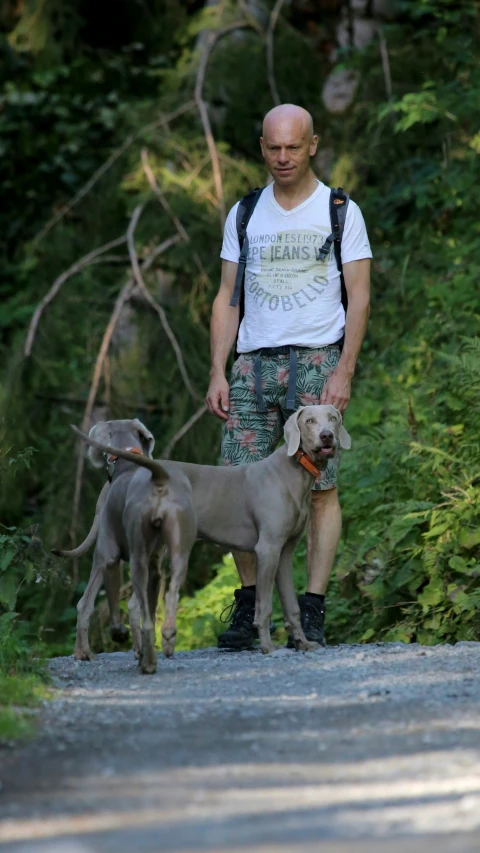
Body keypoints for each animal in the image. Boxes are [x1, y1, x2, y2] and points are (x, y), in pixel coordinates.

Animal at [58, 406, 348, 664]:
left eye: (333, 418)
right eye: (309, 421)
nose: (326, 436)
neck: (293, 470)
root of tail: (124, 473)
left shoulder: (284, 552)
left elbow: (292, 606)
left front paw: (303, 643)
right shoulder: (267, 549)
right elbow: (264, 606)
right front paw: (268, 647)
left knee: (99, 603)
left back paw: (99, 652)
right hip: (122, 549)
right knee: (107, 601)